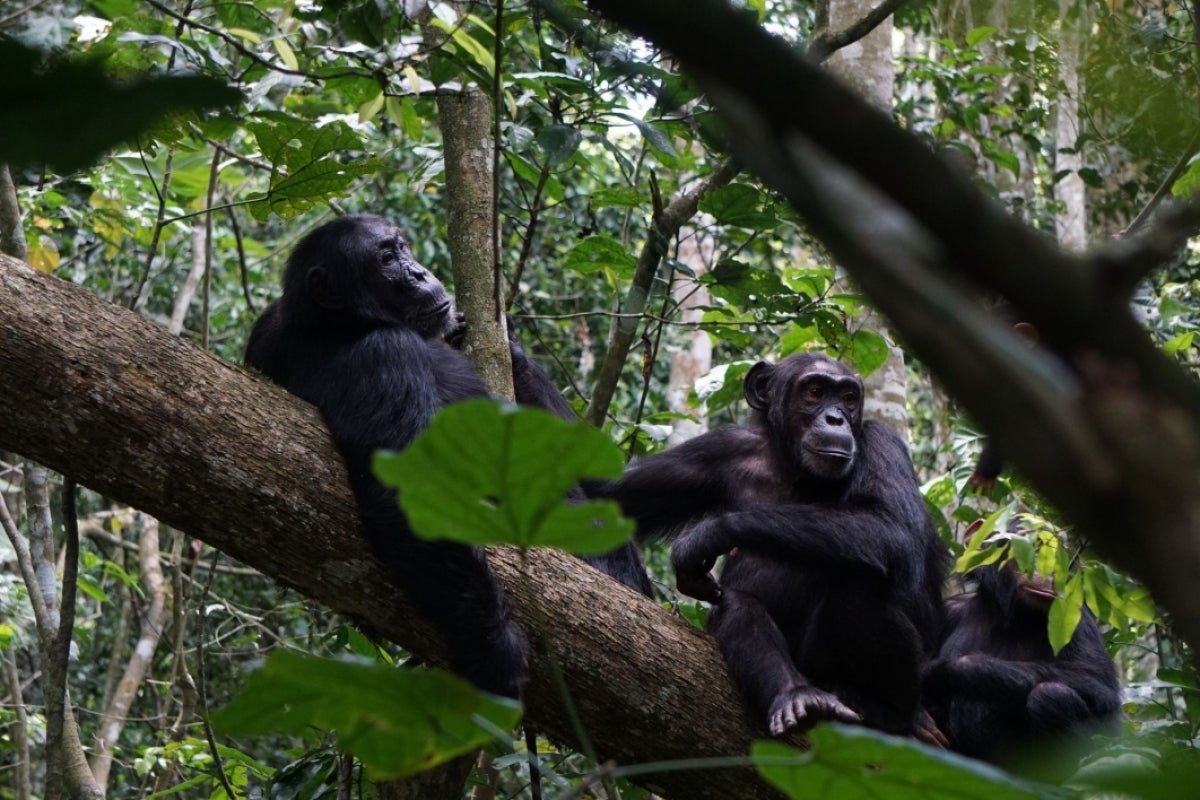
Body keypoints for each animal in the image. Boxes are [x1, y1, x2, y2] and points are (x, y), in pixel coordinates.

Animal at [246, 215, 657, 695]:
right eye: (386, 259)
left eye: (402, 247)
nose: (418, 272)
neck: (337, 325)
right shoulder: (386, 358)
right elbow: (419, 497)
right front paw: (497, 653)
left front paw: (506, 344)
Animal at [604, 355, 950, 743]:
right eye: (815, 391)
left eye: (848, 397)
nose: (836, 418)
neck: (793, 464)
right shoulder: (717, 450)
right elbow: (602, 495)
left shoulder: (882, 441)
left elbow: (893, 530)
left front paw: (704, 537)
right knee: (737, 605)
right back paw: (796, 696)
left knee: (859, 587)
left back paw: (893, 713)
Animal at [921, 556, 1118, 777]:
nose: (1050, 573)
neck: (1007, 615)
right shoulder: (947, 611)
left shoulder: (1076, 615)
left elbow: (1093, 679)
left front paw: (938, 670)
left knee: (1050, 695)